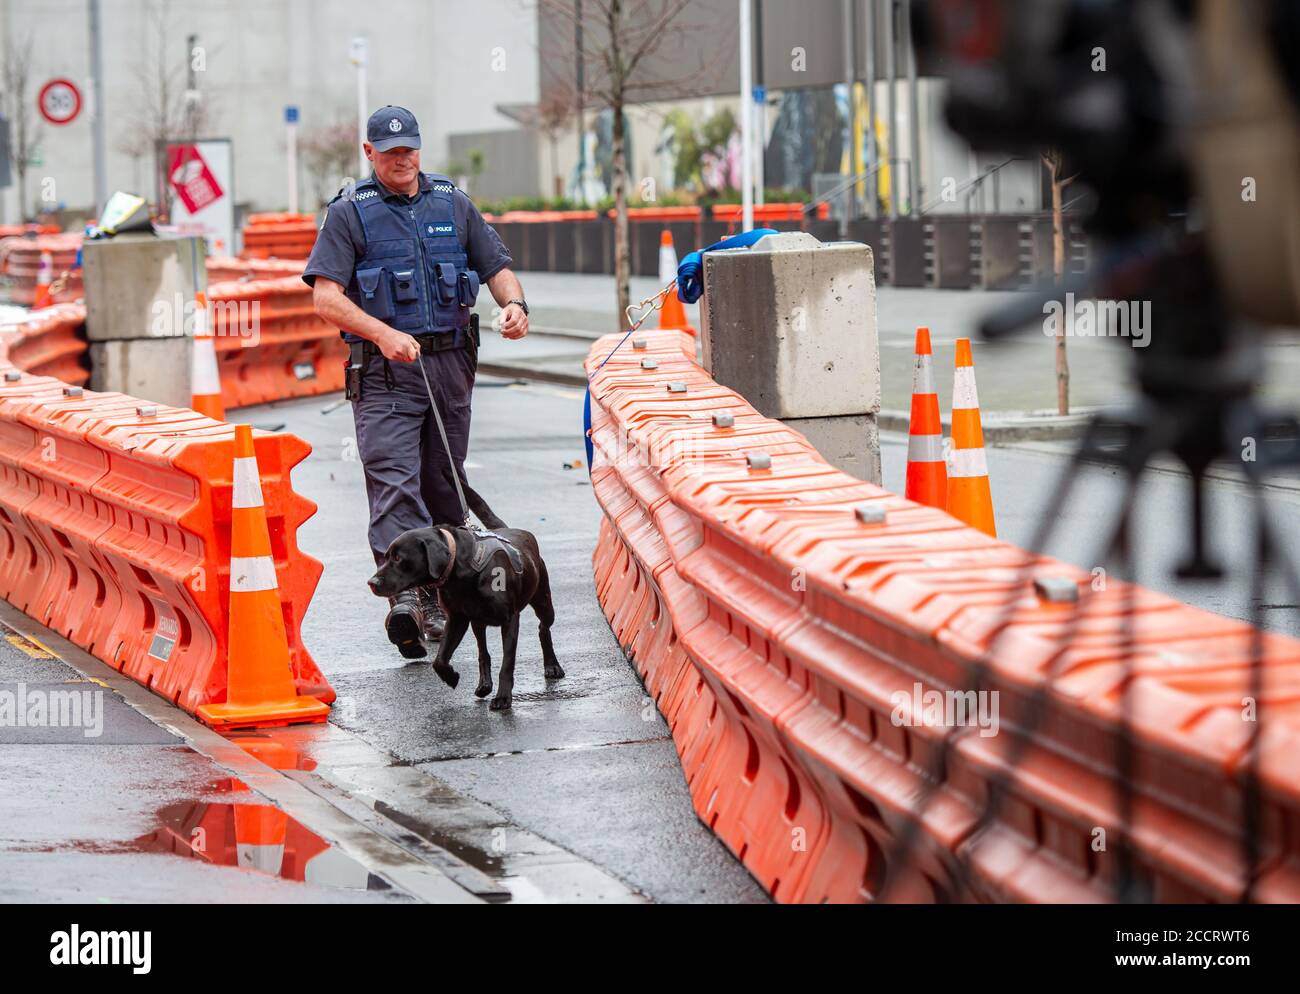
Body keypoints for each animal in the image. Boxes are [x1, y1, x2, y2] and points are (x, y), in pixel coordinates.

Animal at [369, 478, 566, 706]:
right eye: (386, 556)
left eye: (398, 558)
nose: (371, 582)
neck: (463, 570)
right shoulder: (457, 619)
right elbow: (440, 659)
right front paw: (451, 677)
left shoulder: (510, 619)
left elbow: (507, 661)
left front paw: (503, 697)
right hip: (477, 622)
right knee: (483, 652)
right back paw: (484, 685)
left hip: (543, 601)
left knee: (543, 628)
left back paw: (552, 666)